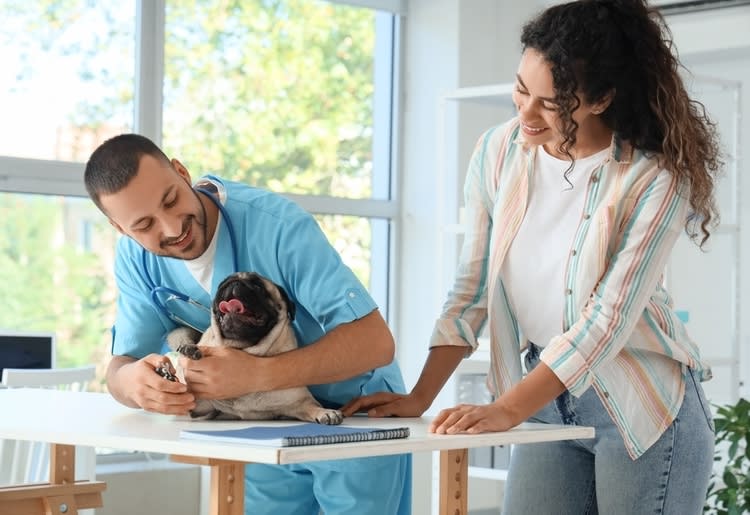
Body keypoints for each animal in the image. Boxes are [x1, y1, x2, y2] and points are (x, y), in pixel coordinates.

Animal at [163, 272, 346, 426]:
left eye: (258, 287)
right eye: (221, 284)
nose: (233, 283)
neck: (243, 349)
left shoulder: (300, 402)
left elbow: (312, 406)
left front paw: (325, 412)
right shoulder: (198, 405)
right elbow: (186, 392)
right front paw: (187, 354)